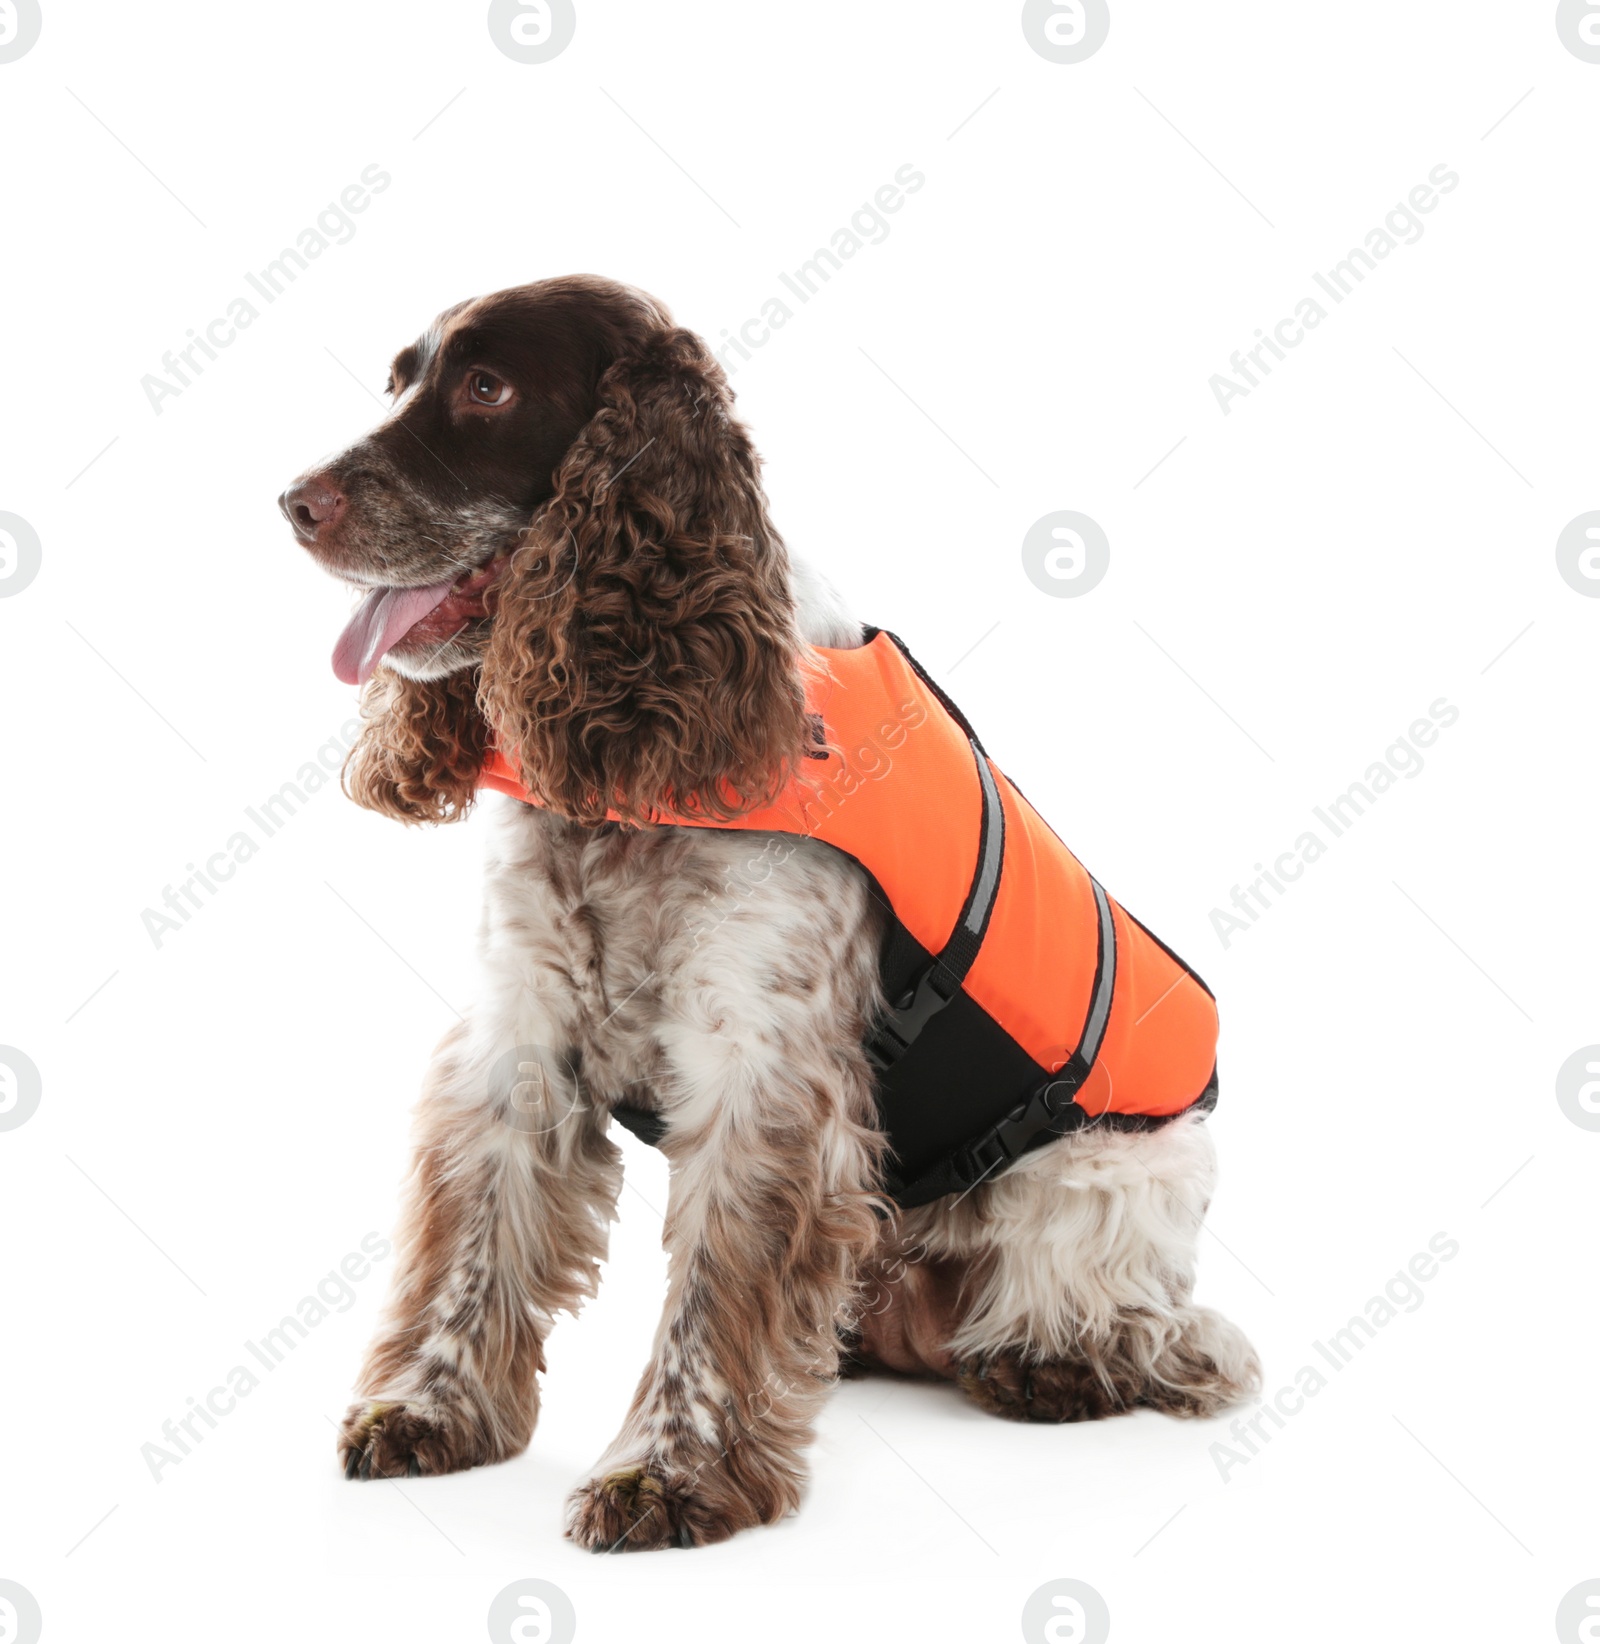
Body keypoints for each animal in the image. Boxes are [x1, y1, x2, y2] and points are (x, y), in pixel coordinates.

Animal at [284, 276, 1262, 1545]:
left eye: (487, 387)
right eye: (400, 379)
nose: (293, 502)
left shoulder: (762, 1063)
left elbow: (712, 1287)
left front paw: (668, 1474)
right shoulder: (518, 1028)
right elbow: (476, 1235)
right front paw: (431, 1409)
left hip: (1110, 1170)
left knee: (1158, 1332)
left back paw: (1048, 1360)